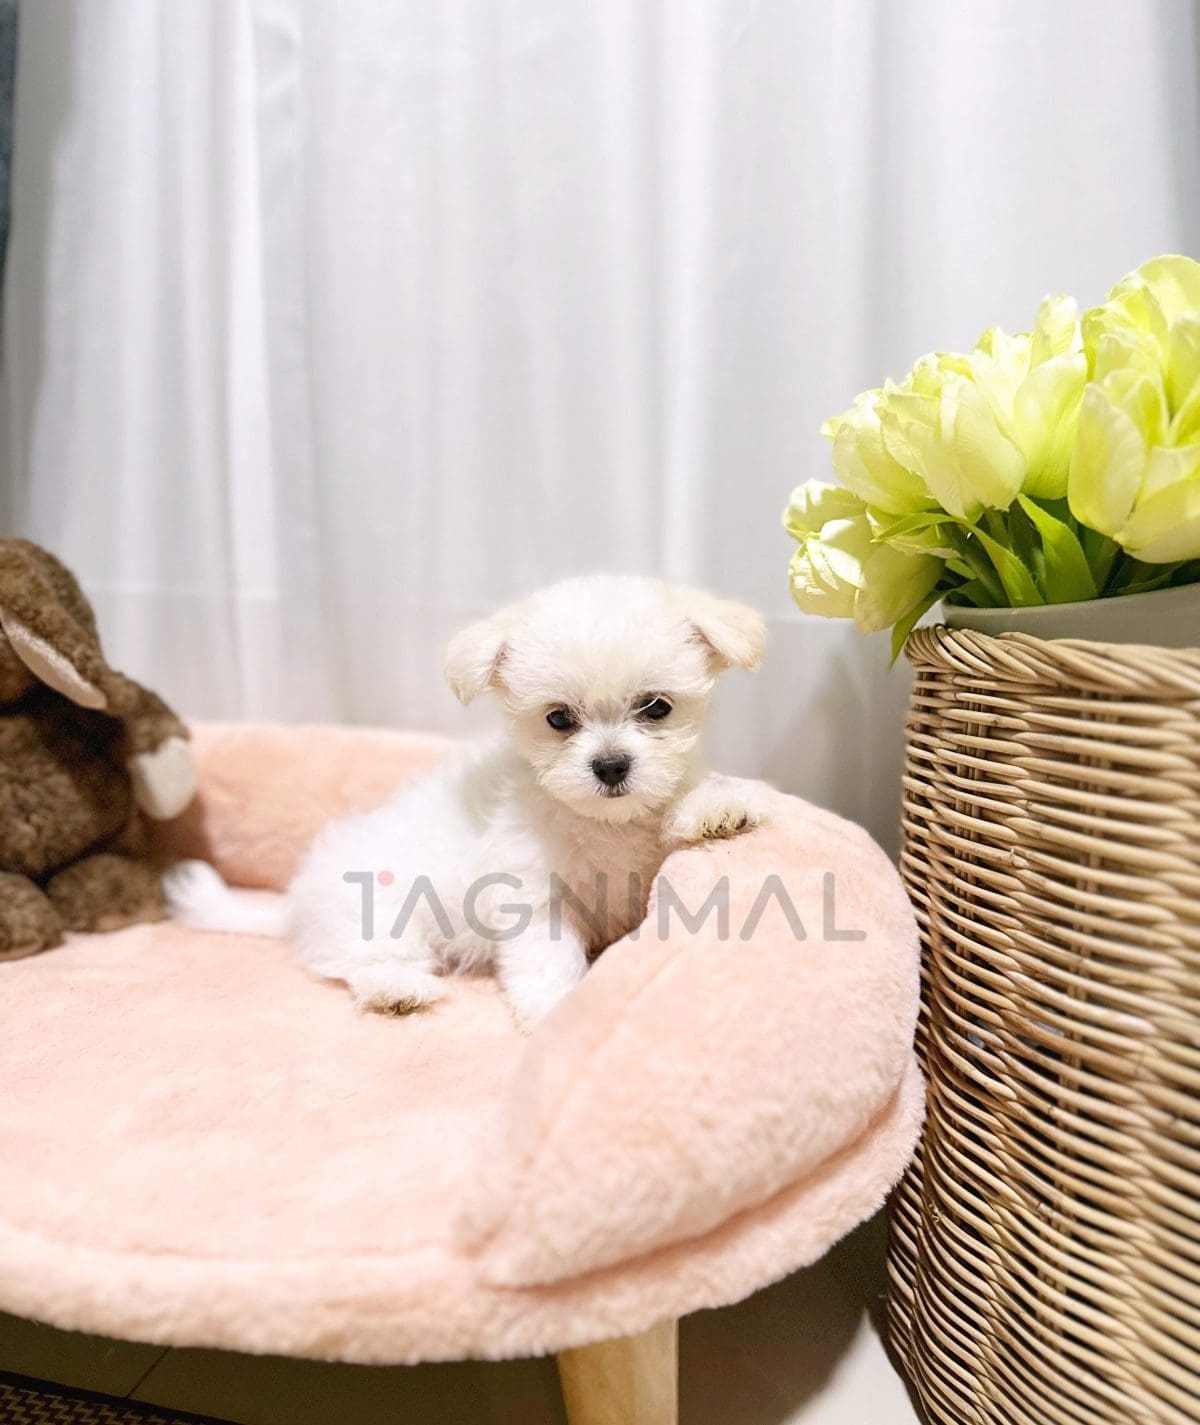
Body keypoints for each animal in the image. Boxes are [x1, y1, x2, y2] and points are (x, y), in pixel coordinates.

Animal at [165, 576, 772, 1027]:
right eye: (558, 718)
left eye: (656, 708)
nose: (610, 765)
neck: (602, 821)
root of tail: (294, 905)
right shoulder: (532, 895)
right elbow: (547, 956)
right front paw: (555, 1010)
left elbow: (689, 795)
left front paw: (718, 806)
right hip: (377, 911)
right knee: (356, 959)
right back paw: (396, 988)